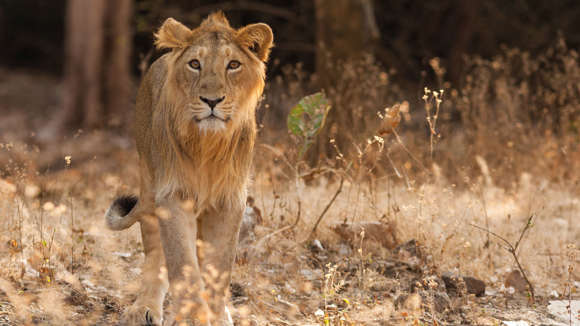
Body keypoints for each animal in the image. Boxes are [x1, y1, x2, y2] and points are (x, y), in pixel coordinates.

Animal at [105, 11, 274, 324]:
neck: (208, 145)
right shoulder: (173, 196)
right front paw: (194, 317)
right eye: (195, 64)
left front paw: (217, 316)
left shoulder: (229, 201)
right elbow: (182, 265)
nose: (212, 101)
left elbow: (219, 268)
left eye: (233, 65)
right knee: (156, 254)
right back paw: (144, 307)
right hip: (149, 187)